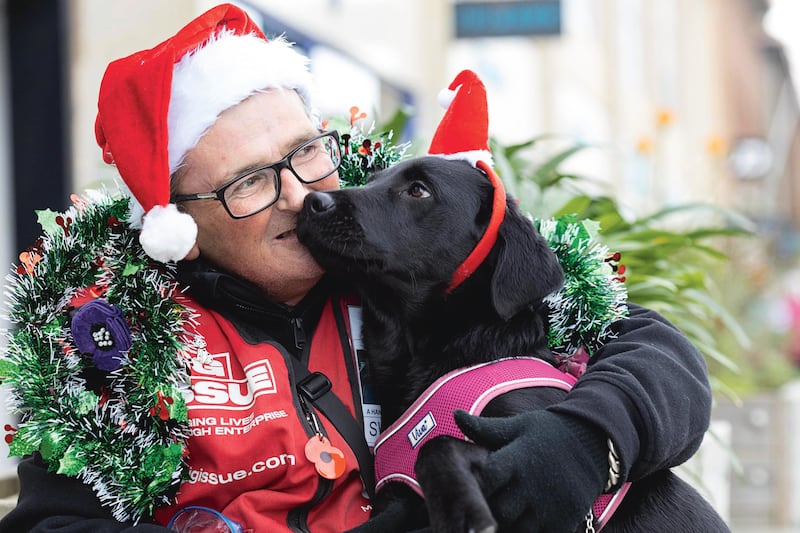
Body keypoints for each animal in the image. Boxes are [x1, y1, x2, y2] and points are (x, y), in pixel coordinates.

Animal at [296, 156, 728, 528]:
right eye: (372, 180)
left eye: (418, 190)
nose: (311, 202)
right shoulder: (399, 499)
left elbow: (439, 446)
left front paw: (461, 508)